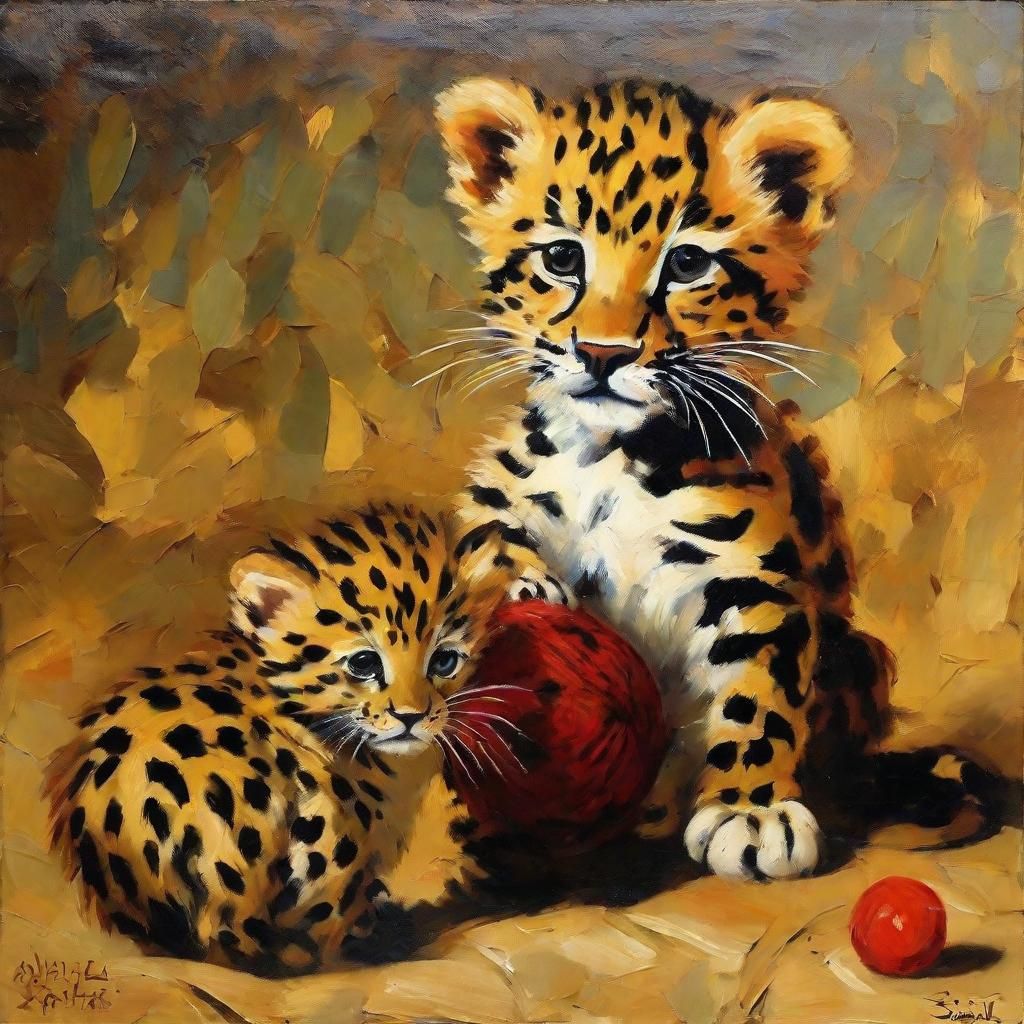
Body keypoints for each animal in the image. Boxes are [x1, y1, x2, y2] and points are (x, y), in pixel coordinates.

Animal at [434, 78, 1003, 880]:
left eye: (686, 266)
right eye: (562, 257)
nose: (603, 354)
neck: (611, 457)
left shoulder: (750, 578)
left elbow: (758, 694)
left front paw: (753, 813)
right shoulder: (497, 486)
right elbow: (484, 525)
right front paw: (524, 580)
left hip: (857, 659)